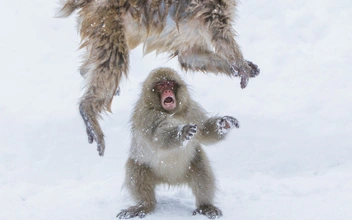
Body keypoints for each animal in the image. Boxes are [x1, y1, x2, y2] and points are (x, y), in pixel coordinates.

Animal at [55, 0, 258, 156]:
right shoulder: (210, 8)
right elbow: (219, 33)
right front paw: (241, 65)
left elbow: (189, 56)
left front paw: (243, 68)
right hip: (106, 21)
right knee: (113, 60)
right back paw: (88, 109)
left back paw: (85, 73)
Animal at [117, 68, 239, 219]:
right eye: (160, 85)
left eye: (170, 83)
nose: (167, 91)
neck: (172, 113)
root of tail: (170, 180)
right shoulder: (148, 116)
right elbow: (159, 136)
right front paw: (182, 132)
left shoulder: (192, 109)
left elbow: (204, 131)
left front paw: (223, 124)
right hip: (145, 165)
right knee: (136, 171)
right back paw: (144, 206)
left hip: (189, 166)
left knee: (202, 169)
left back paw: (205, 206)